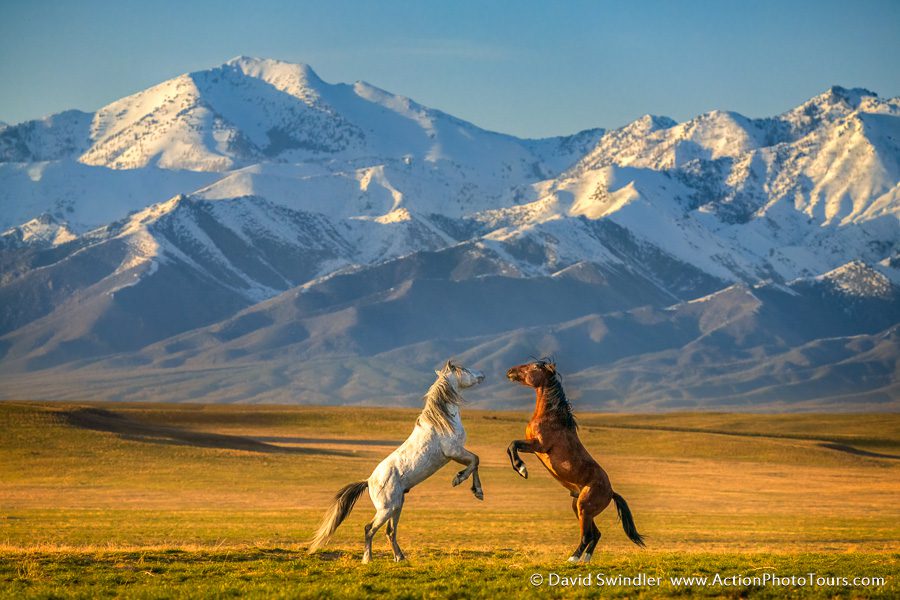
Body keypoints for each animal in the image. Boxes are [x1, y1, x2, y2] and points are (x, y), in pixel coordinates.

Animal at [306, 360, 486, 564]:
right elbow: (475, 460)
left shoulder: (457, 453)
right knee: (369, 528)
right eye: (465, 369)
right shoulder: (453, 452)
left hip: (398, 505)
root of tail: (368, 481)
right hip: (387, 508)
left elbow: (475, 462)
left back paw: (400, 557)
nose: (482, 374)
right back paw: (368, 559)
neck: (442, 421)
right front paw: (462, 481)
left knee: (390, 531)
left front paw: (476, 490)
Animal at [506, 360, 648, 564]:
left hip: (584, 508)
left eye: (534, 366)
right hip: (581, 509)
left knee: (588, 535)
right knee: (596, 534)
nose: (510, 371)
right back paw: (586, 559)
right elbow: (511, 446)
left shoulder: (539, 445)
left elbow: (513, 444)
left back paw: (573, 558)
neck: (550, 417)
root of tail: (611, 492)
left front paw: (522, 469)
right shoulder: (533, 448)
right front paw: (520, 469)